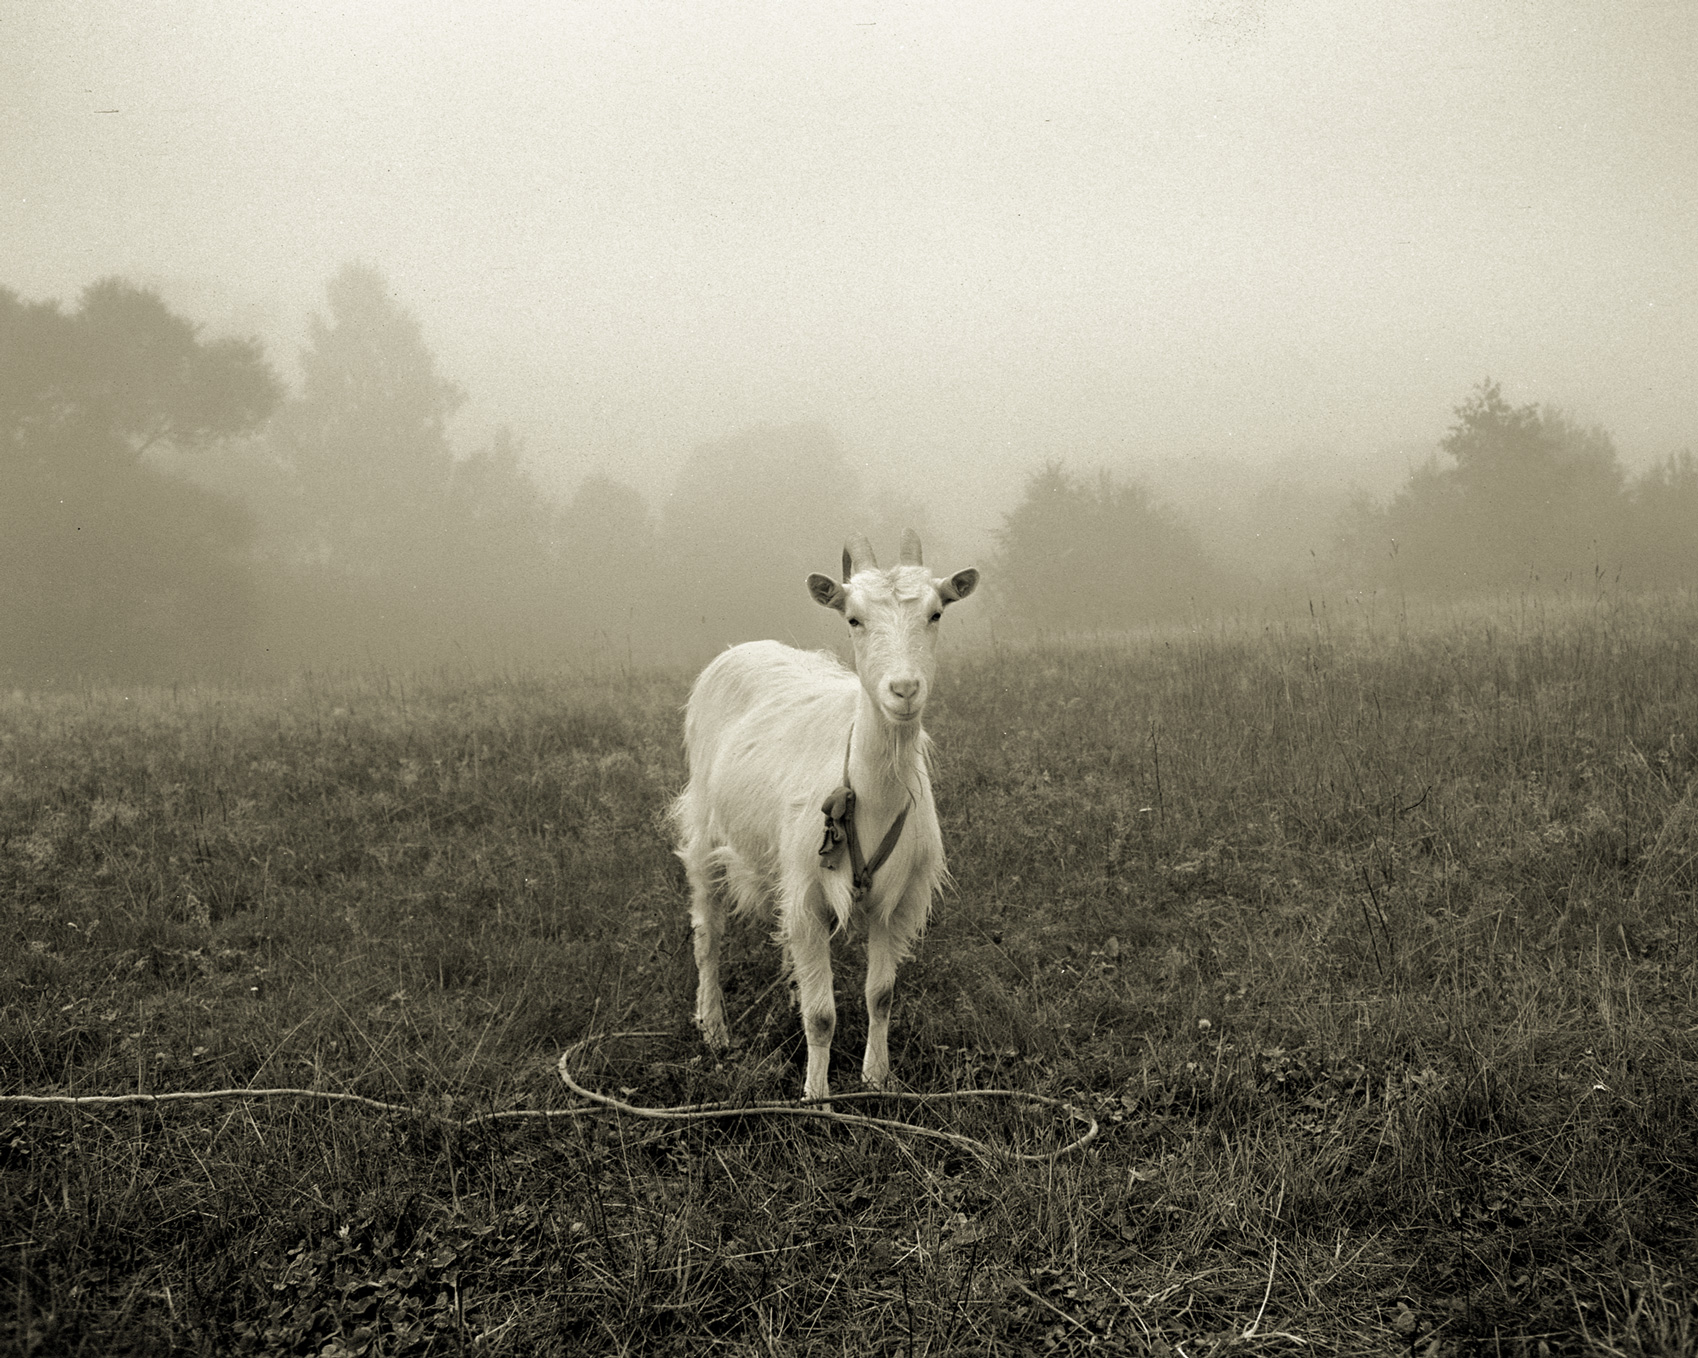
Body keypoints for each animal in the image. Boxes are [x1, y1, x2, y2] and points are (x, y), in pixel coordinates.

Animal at [671, 529, 979, 1099]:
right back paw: (714, 1027)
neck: (871, 794)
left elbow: (880, 994)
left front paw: (877, 1078)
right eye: (853, 618)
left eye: (936, 613)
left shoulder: (898, 900)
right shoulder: (809, 893)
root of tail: (744, 647)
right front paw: (816, 1096)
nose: (904, 690)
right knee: (708, 934)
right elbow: (822, 1016)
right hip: (703, 830)